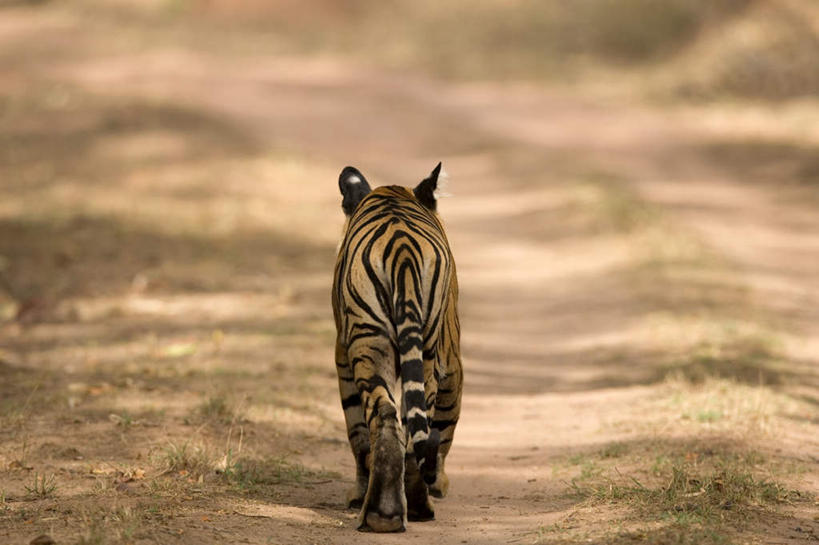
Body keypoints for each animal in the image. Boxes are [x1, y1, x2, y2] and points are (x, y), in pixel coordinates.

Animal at [332, 163, 462, 532]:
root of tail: (402, 247)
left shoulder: (343, 355)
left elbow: (359, 434)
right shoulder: (452, 366)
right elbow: (444, 429)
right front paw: (440, 483)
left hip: (369, 343)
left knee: (386, 416)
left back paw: (383, 514)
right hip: (421, 351)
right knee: (413, 422)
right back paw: (414, 506)